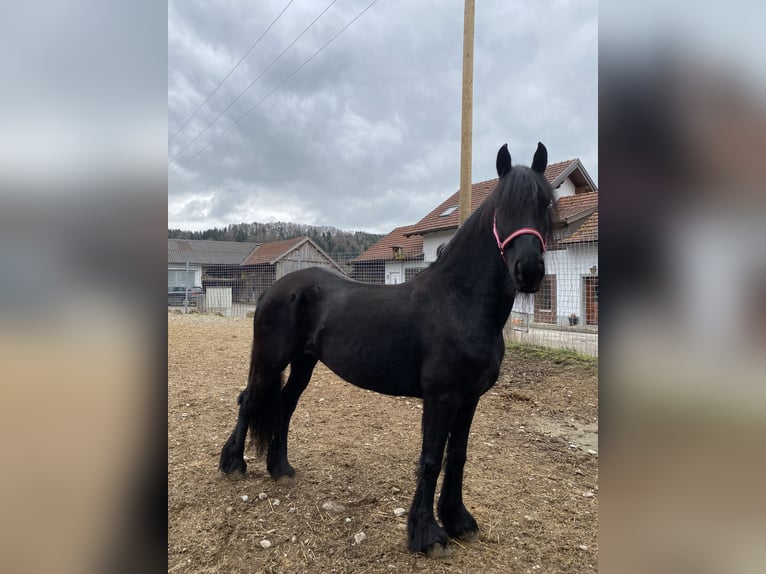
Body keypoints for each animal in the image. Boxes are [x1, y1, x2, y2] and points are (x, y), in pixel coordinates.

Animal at [219, 142, 553, 556]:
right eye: (502, 208)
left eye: (545, 203)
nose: (529, 271)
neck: (459, 301)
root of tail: (274, 288)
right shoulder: (441, 397)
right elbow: (431, 458)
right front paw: (427, 535)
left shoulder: (469, 398)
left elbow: (457, 456)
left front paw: (458, 520)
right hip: (270, 360)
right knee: (249, 401)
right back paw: (233, 465)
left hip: (303, 363)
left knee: (284, 404)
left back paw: (280, 468)